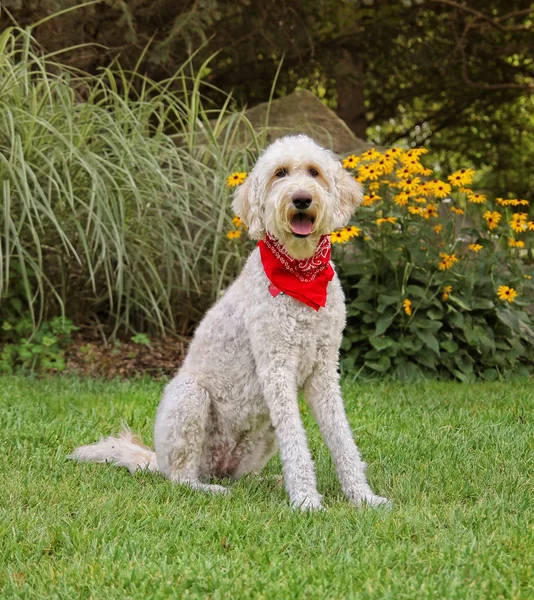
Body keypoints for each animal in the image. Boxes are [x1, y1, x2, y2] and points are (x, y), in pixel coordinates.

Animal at [72, 135, 390, 510]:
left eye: (314, 172)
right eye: (280, 173)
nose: (301, 199)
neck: (300, 274)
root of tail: (157, 461)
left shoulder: (323, 370)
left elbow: (342, 437)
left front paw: (363, 496)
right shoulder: (276, 367)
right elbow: (296, 441)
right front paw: (306, 500)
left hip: (260, 437)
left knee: (238, 474)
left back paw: (265, 481)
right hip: (189, 398)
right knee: (181, 479)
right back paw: (209, 489)